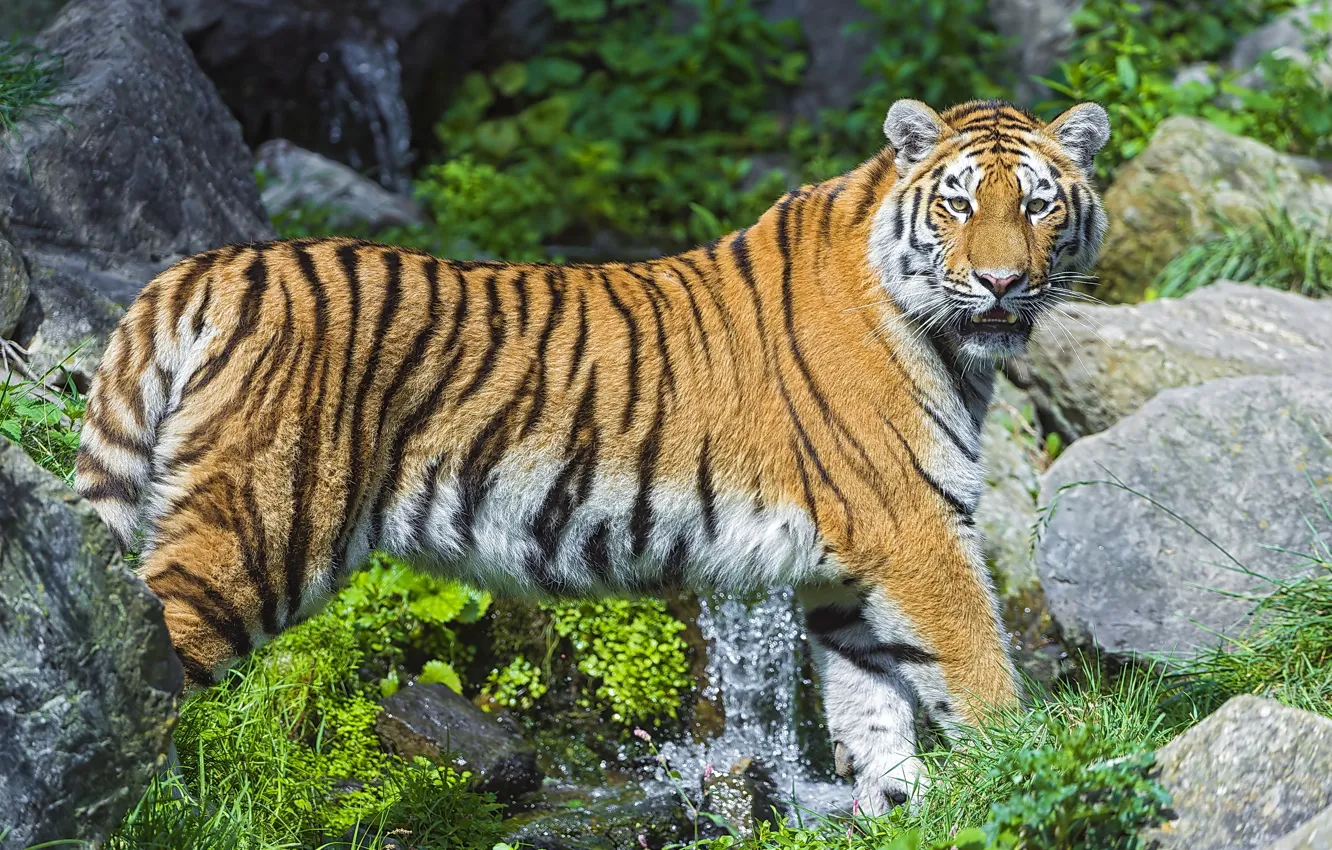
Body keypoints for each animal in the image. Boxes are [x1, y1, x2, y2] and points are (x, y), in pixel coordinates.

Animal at [74, 98, 1109, 814]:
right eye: (959, 204)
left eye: (1040, 207)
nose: (1001, 281)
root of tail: (213, 264)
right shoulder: (915, 528)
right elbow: (979, 669)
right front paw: (1034, 765)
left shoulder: (846, 572)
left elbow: (874, 703)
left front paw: (904, 804)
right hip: (254, 528)